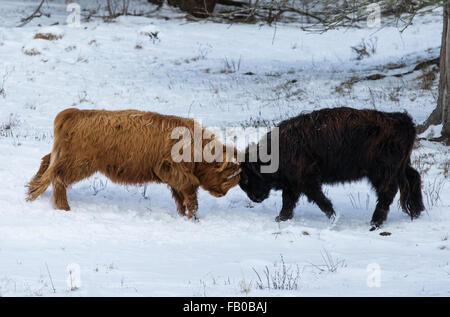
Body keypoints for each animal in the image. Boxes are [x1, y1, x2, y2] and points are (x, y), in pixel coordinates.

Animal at [26, 107, 241, 218]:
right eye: (227, 175)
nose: (221, 194)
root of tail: (74, 112)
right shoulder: (170, 168)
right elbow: (189, 188)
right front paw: (192, 215)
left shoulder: (173, 174)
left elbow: (180, 194)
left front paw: (183, 213)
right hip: (80, 162)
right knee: (58, 176)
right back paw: (63, 207)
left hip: (64, 156)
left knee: (46, 165)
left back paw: (32, 192)